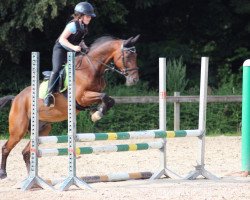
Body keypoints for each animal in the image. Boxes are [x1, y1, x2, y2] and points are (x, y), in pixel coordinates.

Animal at [0, 34, 141, 178]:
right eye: (128, 56)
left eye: (135, 55)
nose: (134, 80)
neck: (91, 68)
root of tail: (16, 98)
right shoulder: (82, 98)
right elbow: (104, 96)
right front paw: (97, 114)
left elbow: (109, 100)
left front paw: (97, 112)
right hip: (18, 129)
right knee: (6, 148)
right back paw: (4, 173)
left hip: (43, 129)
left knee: (26, 151)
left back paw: (31, 178)